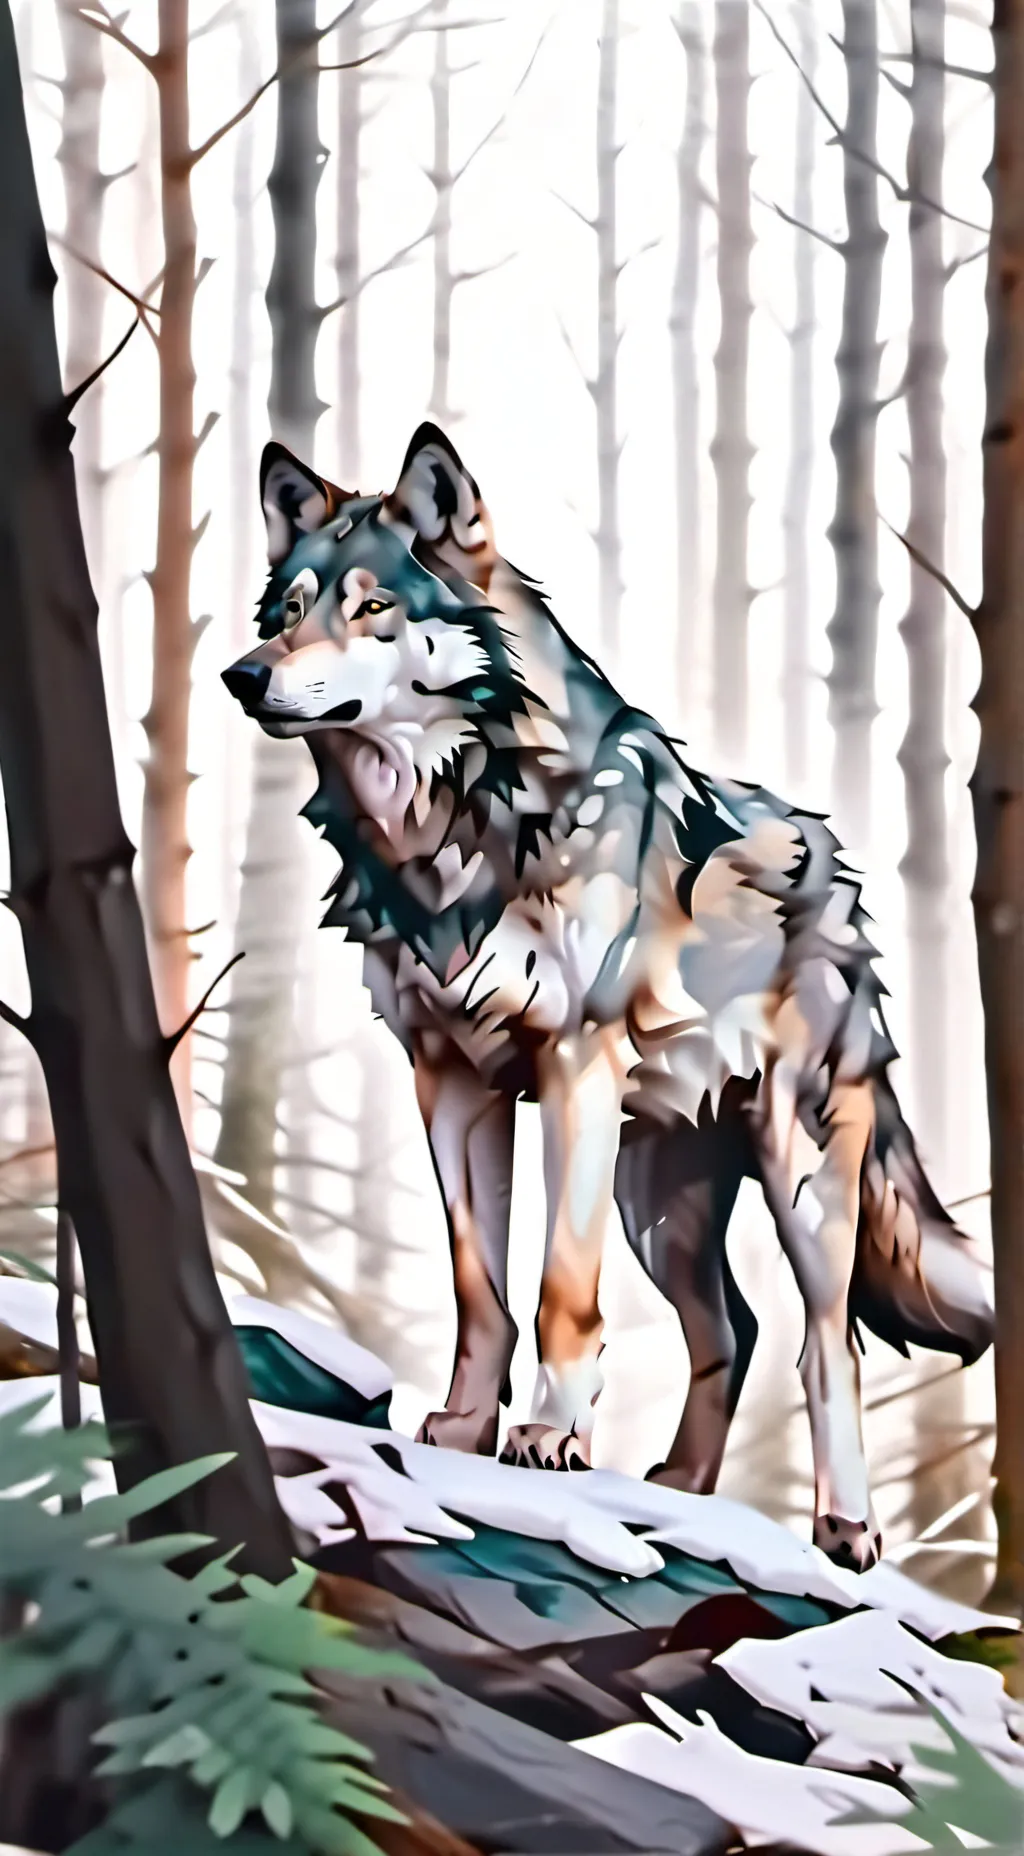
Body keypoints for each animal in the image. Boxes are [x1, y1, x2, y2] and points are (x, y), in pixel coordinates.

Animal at [222, 422, 993, 1570]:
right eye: (285, 612)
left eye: (370, 607)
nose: (242, 675)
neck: (452, 828)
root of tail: (842, 881)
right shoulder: (449, 1082)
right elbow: (480, 1287)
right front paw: (465, 1427)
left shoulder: (572, 1068)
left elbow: (560, 1293)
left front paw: (548, 1440)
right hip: (656, 1203)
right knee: (732, 1328)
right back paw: (683, 1488)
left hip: (795, 1176)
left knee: (827, 1343)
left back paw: (844, 1528)